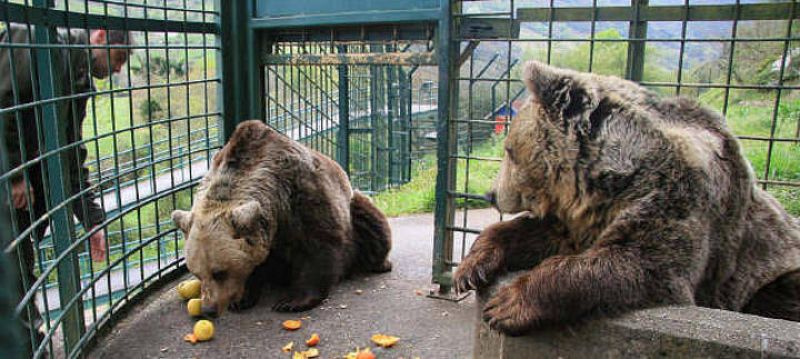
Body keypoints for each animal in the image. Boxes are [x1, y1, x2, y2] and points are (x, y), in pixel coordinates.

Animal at [173, 119, 392, 316]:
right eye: (197, 273)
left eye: (219, 272)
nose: (209, 309)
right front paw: (243, 298)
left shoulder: (301, 193)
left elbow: (320, 244)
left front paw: (291, 302)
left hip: (353, 206)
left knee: (370, 224)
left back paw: (378, 263)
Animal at [454, 59, 800, 338]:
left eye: (509, 151)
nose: (490, 193)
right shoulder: (582, 220)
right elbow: (534, 233)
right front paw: (471, 268)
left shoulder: (676, 199)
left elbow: (638, 261)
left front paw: (507, 304)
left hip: (768, 271)